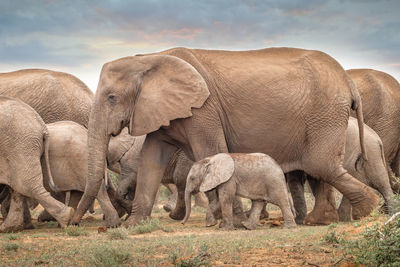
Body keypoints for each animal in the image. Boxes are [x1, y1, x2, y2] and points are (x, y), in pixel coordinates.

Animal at [0, 96, 73, 232]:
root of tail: (42, 126)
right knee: (18, 187)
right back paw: (10, 228)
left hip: (22, 144)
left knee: (27, 185)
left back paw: (67, 218)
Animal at [72, 47, 378, 227]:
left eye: (112, 98)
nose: (73, 222)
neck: (149, 58)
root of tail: (349, 81)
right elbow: (151, 160)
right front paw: (134, 225)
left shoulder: (203, 109)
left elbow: (211, 149)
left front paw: (234, 222)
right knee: (319, 170)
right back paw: (320, 220)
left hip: (325, 113)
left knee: (320, 165)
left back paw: (364, 210)